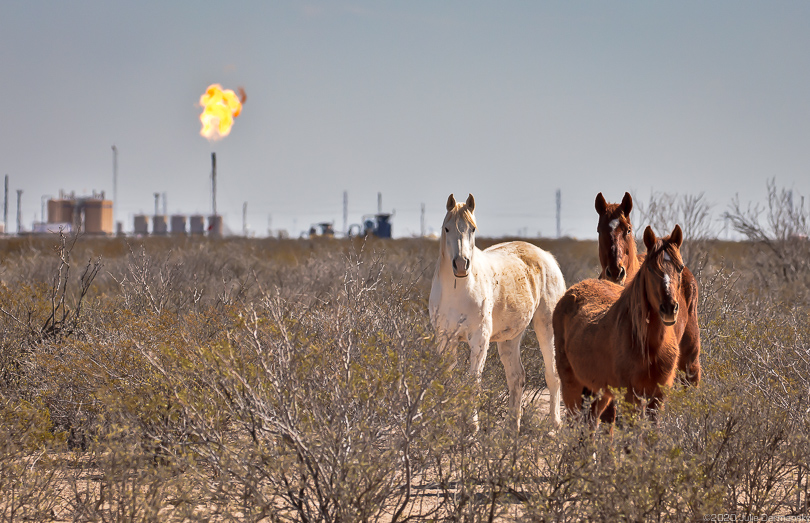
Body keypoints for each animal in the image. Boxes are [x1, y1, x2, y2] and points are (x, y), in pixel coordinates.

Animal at [430, 192, 560, 430]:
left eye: (472, 229)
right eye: (447, 228)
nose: (461, 264)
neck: (458, 291)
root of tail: (546, 256)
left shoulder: (479, 339)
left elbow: (473, 382)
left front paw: (472, 428)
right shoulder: (444, 339)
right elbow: (446, 381)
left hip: (546, 328)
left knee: (552, 373)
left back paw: (554, 428)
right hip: (510, 338)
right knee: (516, 377)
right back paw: (511, 429)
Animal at [556, 225, 688, 422]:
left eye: (680, 268)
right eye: (650, 268)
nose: (669, 307)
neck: (649, 346)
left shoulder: (658, 397)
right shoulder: (630, 395)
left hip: (599, 392)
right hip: (571, 387)